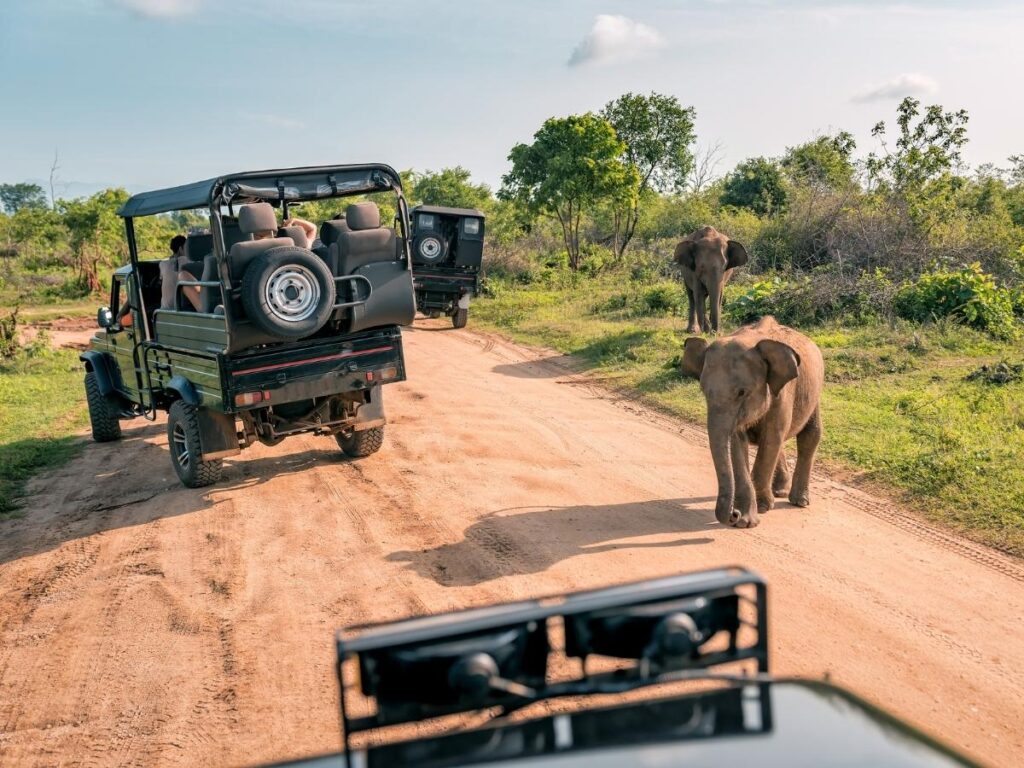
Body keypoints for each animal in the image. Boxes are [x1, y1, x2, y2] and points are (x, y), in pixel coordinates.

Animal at [680, 316, 824, 529]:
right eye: (704, 391)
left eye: (742, 392)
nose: (733, 514)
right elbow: (738, 443)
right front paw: (746, 520)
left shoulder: (783, 394)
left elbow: (771, 438)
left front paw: (763, 507)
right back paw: (779, 491)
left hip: (814, 394)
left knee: (809, 435)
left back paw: (799, 501)